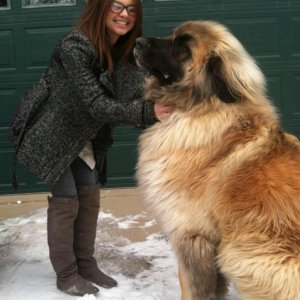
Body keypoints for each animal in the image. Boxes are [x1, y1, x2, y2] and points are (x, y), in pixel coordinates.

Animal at [134, 20, 300, 300]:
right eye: (171, 35)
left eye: (182, 46)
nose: (137, 41)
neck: (202, 107)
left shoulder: (191, 233)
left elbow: (191, 287)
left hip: (242, 252)